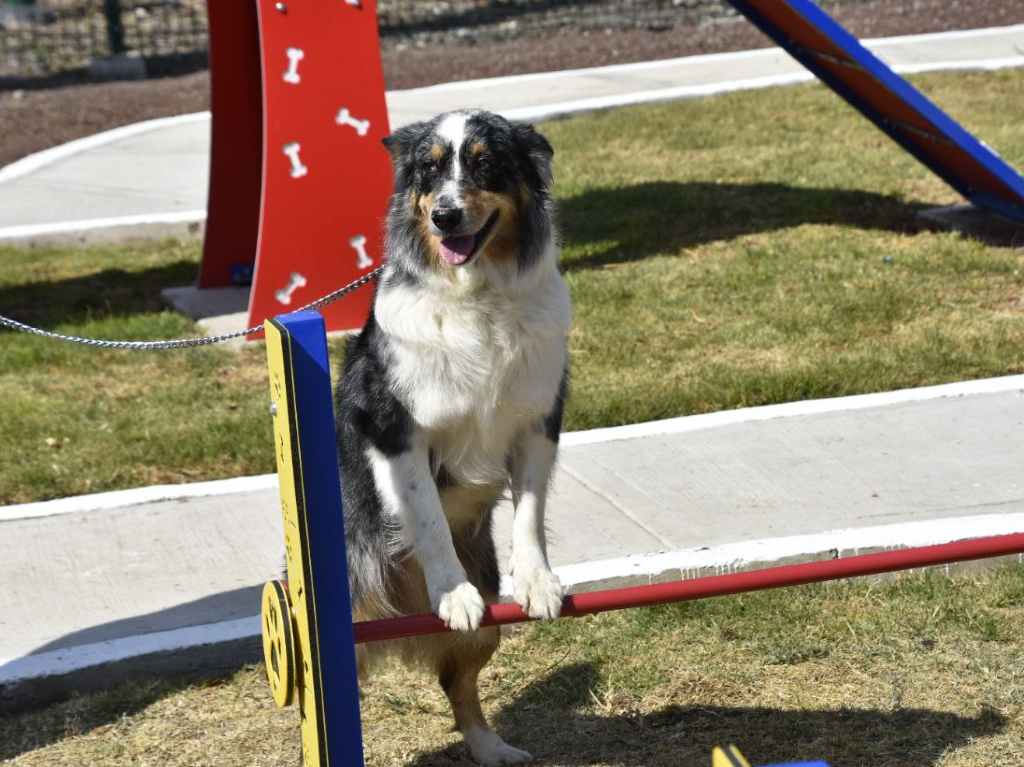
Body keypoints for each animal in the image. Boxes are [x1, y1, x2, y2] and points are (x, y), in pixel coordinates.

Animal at [335, 107, 573, 761]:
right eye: (429, 168)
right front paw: (452, 594)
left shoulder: (539, 421)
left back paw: (493, 749)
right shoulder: (397, 431)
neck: (477, 295)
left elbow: (530, 513)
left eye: (486, 163)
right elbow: (429, 519)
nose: (444, 215)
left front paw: (538, 582)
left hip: (488, 625)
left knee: (456, 683)